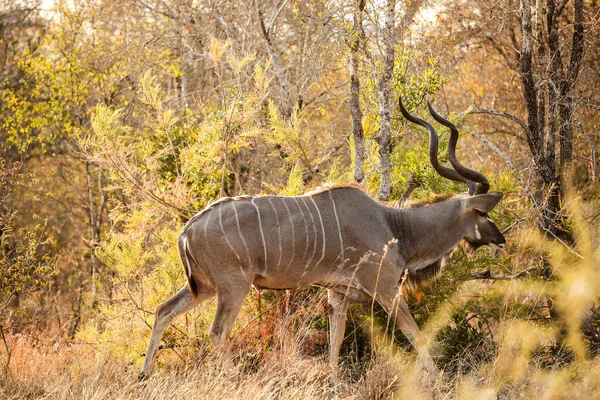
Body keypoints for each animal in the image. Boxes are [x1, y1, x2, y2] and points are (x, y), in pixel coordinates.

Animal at [137, 97, 506, 378]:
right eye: (483, 214)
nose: (500, 240)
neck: (395, 226)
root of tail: (187, 229)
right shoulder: (386, 289)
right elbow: (415, 334)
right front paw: (437, 379)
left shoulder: (338, 295)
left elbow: (336, 340)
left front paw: (333, 379)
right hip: (232, 286)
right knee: (217, 332)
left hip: (204, 286)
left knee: (163, 310)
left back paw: (144, 374)